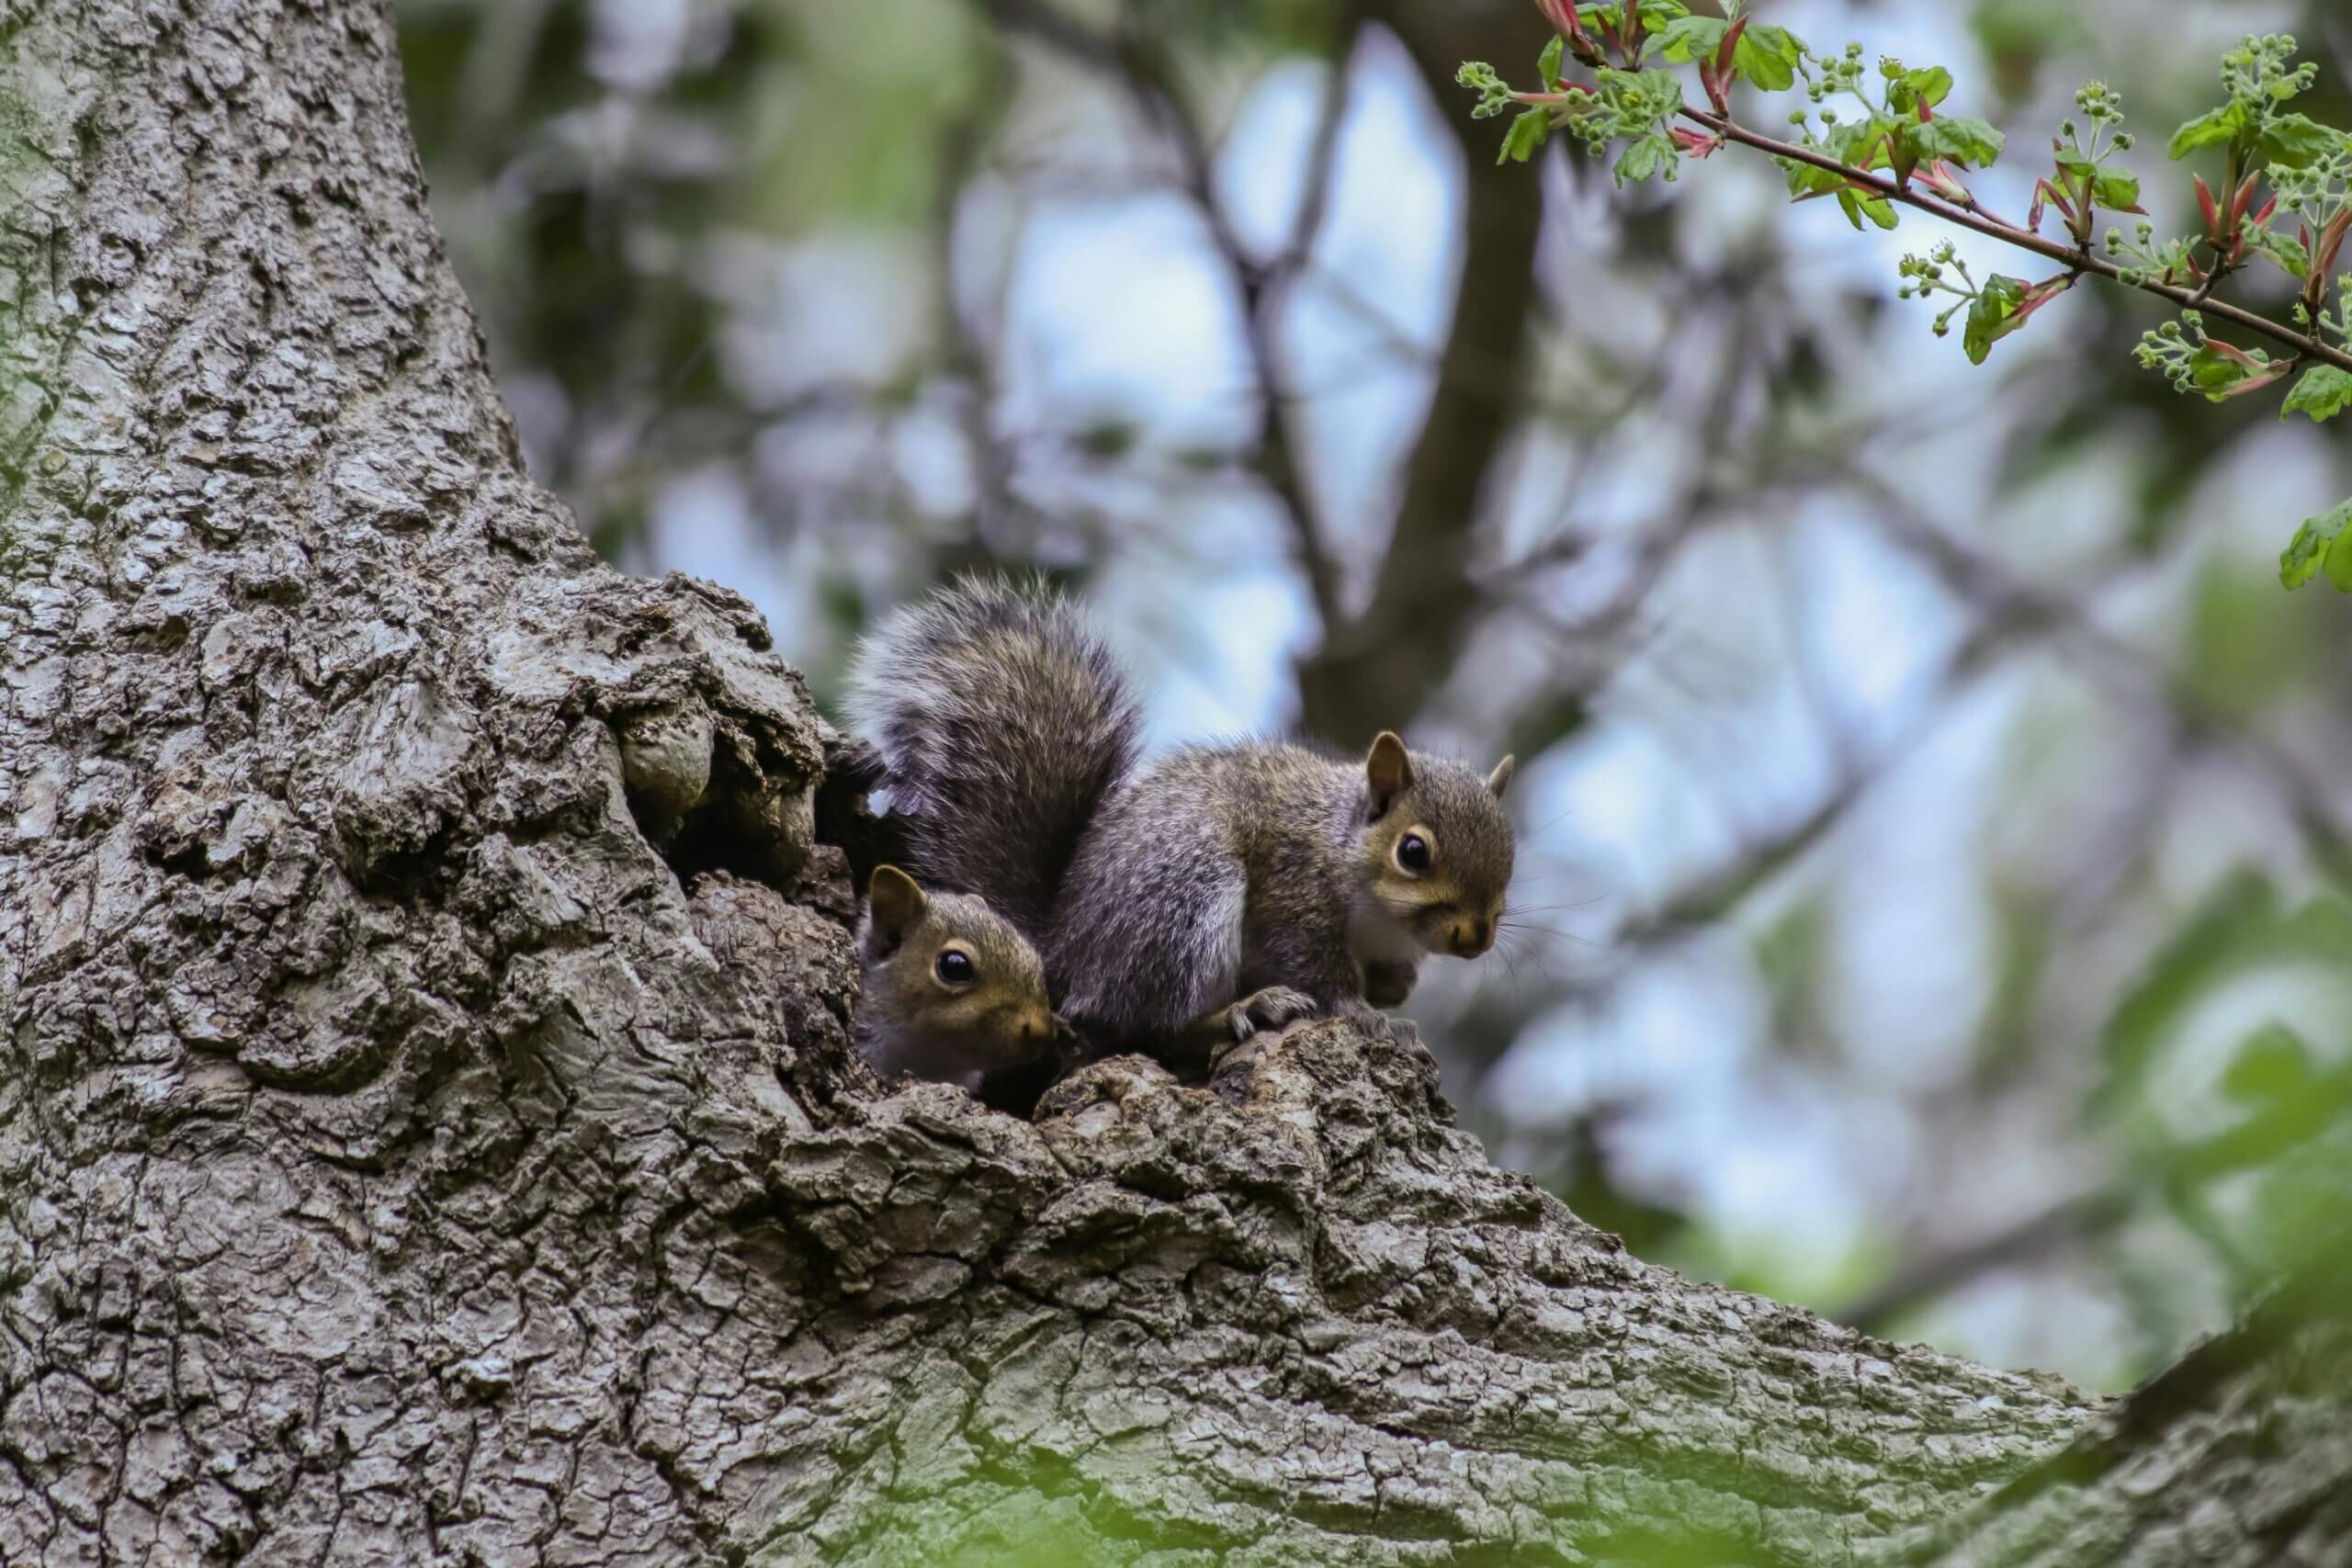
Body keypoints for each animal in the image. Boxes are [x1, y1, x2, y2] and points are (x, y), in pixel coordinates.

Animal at [847, 577, 1517, 1061]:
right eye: (1413, 852)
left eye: (1511, 857)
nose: (1475, 938)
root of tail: (1061, 950)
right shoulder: (1294, 891)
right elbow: (1316, 968)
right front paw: (1367, 1015)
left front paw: (1394, 989)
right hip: (1184, 902)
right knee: (1152, 1024)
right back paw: (1245, 1009)